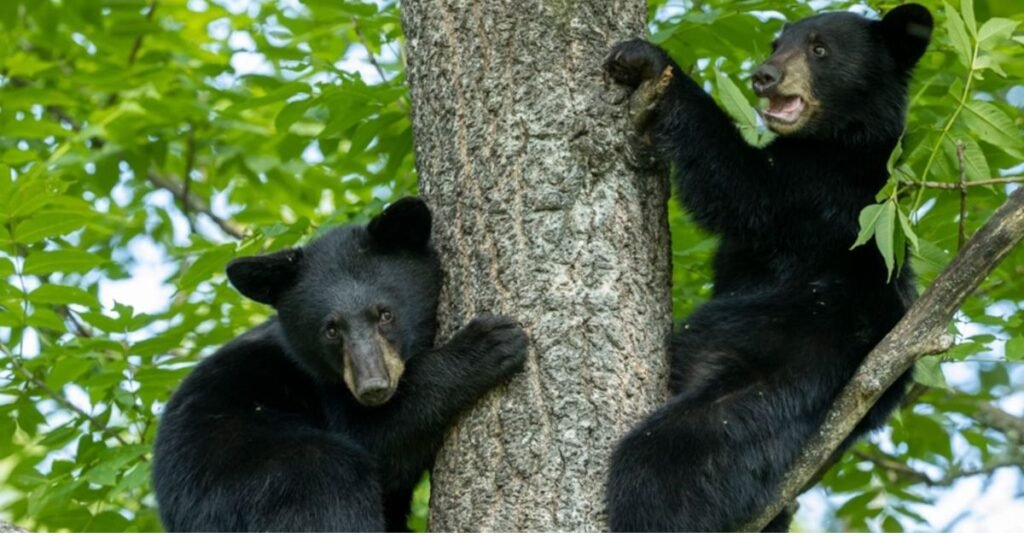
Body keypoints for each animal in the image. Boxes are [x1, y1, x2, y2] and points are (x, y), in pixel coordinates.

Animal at [151, 197, 529, 532]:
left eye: (385, 313)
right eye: (331, 329)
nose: (373, 386)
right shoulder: (326, 396)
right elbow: (380, 439)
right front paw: (488, 343)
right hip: (252, 472)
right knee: (329, 483)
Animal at [602, 4, 932, 532]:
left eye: (819, 49)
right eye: (778, 43)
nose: (764, 75)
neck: (842, 140)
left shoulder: (827, 194)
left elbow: (741, 186)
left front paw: (648, 61)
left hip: (756, 382)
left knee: (659, 467)